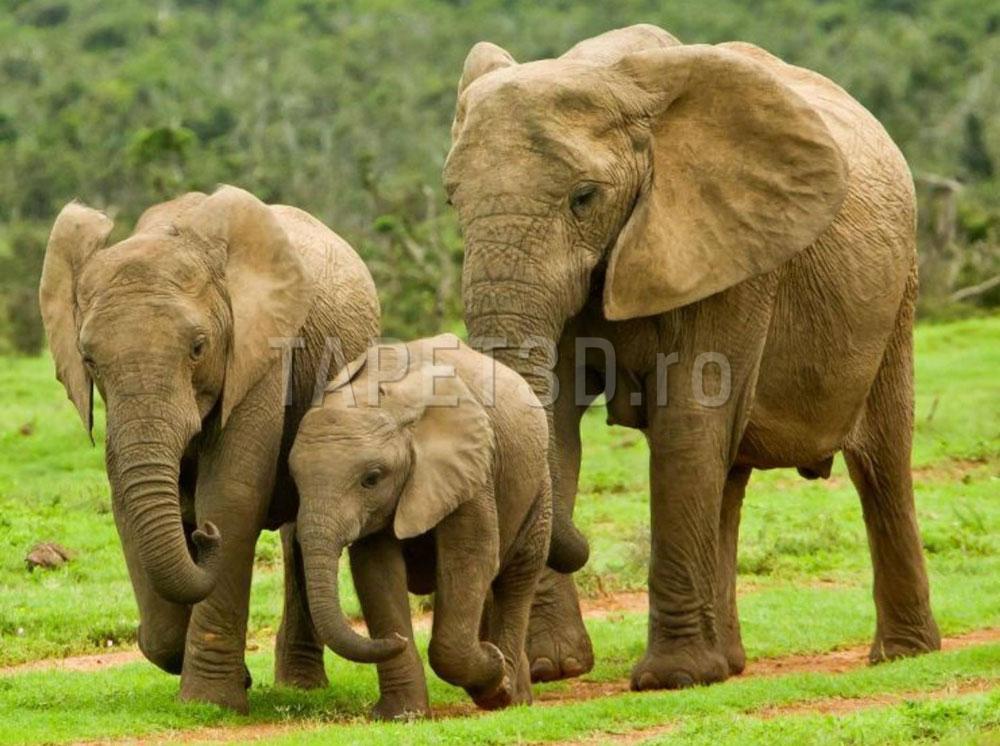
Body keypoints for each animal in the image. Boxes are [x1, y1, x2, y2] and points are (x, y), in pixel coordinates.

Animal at [39, 185, 380, 712]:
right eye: (89, 359)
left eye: (198, 348)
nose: (202, 536)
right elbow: (126, 502)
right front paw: (224, 675)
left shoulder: (262, 354)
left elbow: (232, 496)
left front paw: (214, 701)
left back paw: (298, 687)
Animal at [288, 333, 551, 718]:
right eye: (294, 480)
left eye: (371, 479)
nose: (393, 640)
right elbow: (376, 572)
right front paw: (401, 716)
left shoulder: (471, 468)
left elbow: (469, 558)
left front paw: (495, 676)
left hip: (538, 483)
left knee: (518, 575)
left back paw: (510, 696)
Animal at [443, 24, 942, 691]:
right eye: (453, 201)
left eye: (584, 198)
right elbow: (557, 426)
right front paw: (552, 668)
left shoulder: (731, 251)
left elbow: (687, 420)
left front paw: (670, 679)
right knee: (728, 474)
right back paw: (728, 665)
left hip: (897, 293)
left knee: (881, 460)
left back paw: (901, 655)